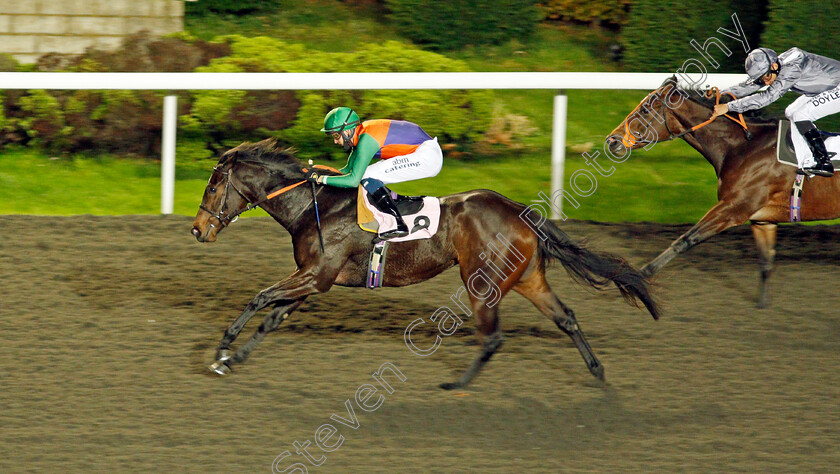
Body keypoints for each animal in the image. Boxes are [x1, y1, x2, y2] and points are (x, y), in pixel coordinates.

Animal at [192, 137, 664, 388]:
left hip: (481, 279)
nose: (197, 230)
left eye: (213, 186)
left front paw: (220, 352)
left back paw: (457, 384)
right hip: (527, 278)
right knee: (565, 317)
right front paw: (234, 358)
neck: (315, 206)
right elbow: (273, 316)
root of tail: (518, 210)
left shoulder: (314, 275)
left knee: (493, 337)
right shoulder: (315, 279)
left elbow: (259, 299)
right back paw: (598, 374)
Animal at [608, 76, 840, 308]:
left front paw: (634, 279)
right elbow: (766, 262)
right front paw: (762, 305)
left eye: (645, 109)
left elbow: (685, 240)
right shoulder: (762, 220)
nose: (612, 141)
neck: (743, 147)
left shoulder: (733, 208)